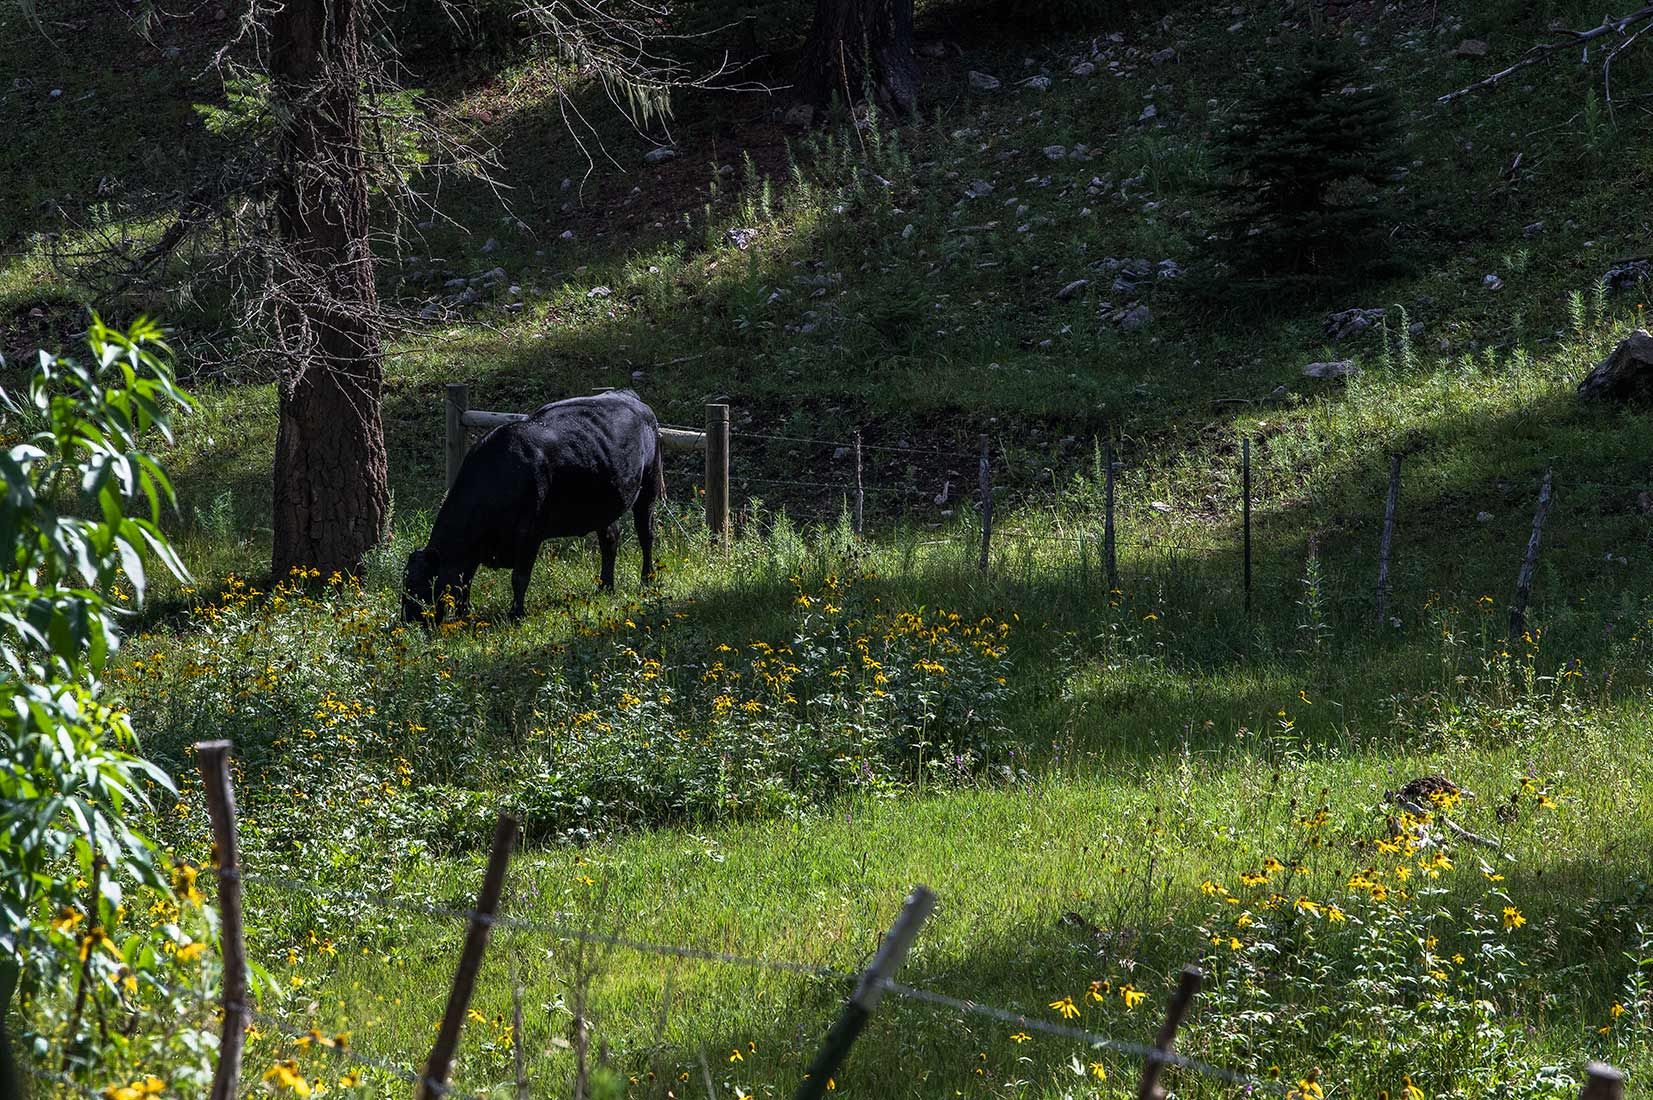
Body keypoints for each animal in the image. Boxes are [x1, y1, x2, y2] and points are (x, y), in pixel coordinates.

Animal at [402, 390, 664, 624]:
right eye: (405, 584)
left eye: (420, 585)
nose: (409, 621)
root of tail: (628, 396)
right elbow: (464, 581)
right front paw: (463, 616)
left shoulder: (530, 533)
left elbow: (519, 578)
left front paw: (515, 615)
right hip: (604, 504)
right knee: (610, 539)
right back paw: (605, 587)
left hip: (649, 486)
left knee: (646, 535)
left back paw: (647, 580)